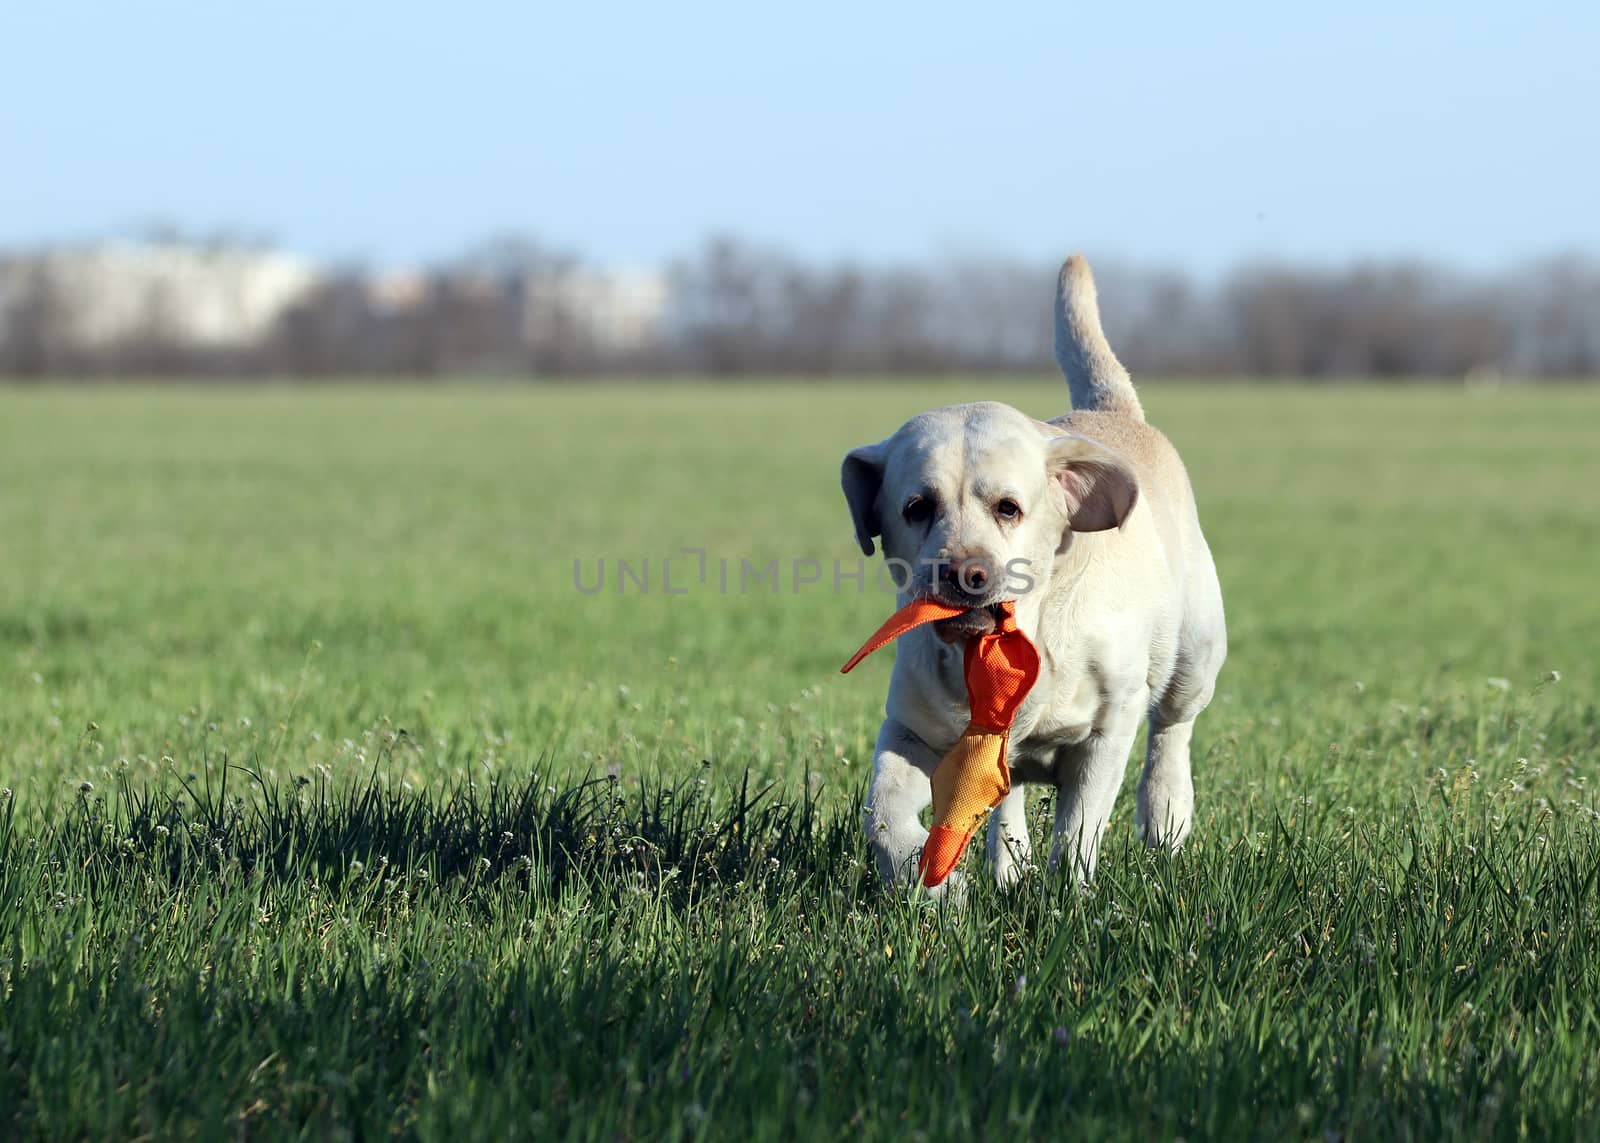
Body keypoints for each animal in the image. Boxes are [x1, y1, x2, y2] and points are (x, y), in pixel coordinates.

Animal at [838, 251, 1222, 890]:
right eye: (917, 507)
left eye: (1008, 507)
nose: (964, 572)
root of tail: (1111, 411)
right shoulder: (911, 727)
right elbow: (883, 809)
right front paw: (929, 877)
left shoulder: (1107, 728)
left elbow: (1079, 825)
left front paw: (1069, 895)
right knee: (1008, 794)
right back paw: (1008, 866)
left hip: (1196, 652)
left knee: (1173, 729)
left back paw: (1166, 816)